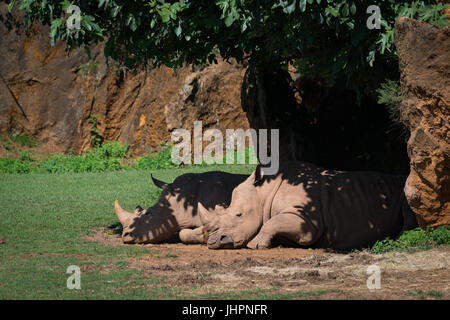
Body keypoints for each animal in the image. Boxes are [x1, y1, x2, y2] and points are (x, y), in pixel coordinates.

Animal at [199, 162, 420, 250]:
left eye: (238, 215)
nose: (214, 242)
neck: (264, 194)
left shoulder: (307, 219)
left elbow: (272, 223)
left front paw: (255, 245)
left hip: (405, 190)